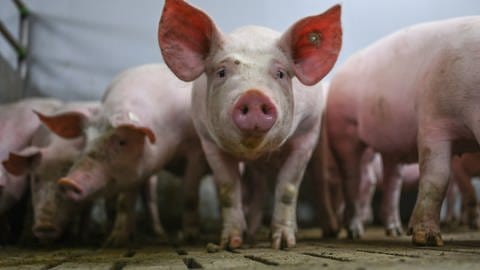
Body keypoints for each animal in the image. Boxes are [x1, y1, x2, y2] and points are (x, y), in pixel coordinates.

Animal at [44, 63, 209, 247]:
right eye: (86, 138)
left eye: (122, 141)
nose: (67, 182)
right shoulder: (134, 172)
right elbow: (124, 202)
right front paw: (114, 242)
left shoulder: (196, 150)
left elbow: (190, 195)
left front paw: (190, 238)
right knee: (146, 199)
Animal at [159, 0, 344, 249]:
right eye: (222, 72)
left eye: (280, 73)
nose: (254, 96)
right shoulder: (208, 141)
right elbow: (228, 190)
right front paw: (230, 243)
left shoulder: (307, 133)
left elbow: (288, 188)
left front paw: (283, 244)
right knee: (258, 188)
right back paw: (252, 235)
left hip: (321, 142)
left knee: (319, 181)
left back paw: (330, 230)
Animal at [326, 15, 480, 246]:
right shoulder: (433, 120)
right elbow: (437, 177)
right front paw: (427, 240)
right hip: (343, 129)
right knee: (353, 180)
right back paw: (354, 232)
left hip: (391, 147)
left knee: (392, 183)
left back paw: (395, 231)